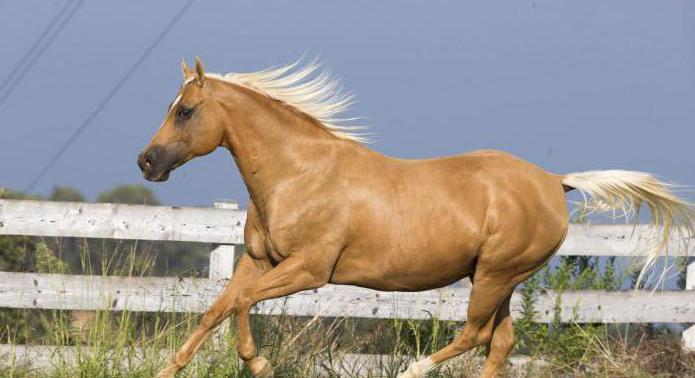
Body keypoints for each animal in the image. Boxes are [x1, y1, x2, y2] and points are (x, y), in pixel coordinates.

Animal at [137, 57, 695, 376]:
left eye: (185, 111)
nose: (146, 162)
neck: (299, 175)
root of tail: (553, 180)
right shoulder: (258, 261)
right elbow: (217, 309)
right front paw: (168, 371)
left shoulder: (309, 269)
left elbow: (241, 304)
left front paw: (259, 362)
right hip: (501, 278)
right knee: (500, 342)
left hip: (495, 274)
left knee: (476, 335)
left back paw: (413, 368)